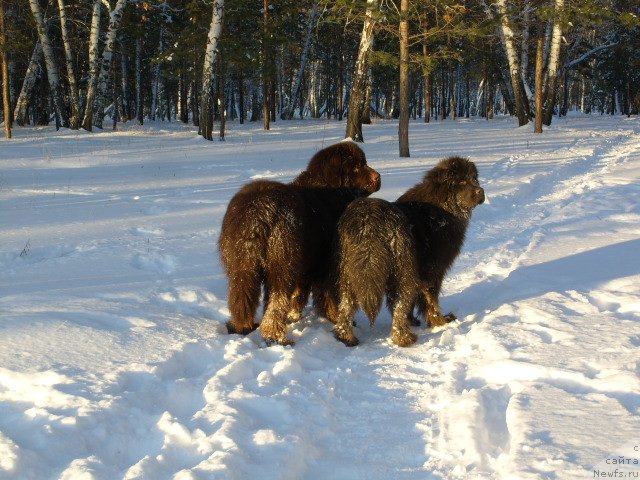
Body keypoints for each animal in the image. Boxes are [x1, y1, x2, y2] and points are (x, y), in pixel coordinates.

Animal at [220, 142, 380, 344]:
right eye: (358, 165)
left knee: (242, 297)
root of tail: (257, 211)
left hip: (241, 265)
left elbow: (299, 294)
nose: (378, 177)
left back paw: (243, 327)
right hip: (282, 262)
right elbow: (329, 295)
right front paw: (337, 318)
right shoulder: (328, 264)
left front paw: (294, 316)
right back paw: (277, 337)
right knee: (276, 302)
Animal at [332, 156, 482, 346]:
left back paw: (346, 337)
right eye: (461, 181)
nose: (481, 192)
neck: (444, 204)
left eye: (474, 179)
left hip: (351, 271)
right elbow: (431, 299)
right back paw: (403, 338)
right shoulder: (433, 270)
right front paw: (439, 321)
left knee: (346, 305)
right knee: (399, 305)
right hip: (403, 268)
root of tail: (369, 220)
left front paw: (413, 320)